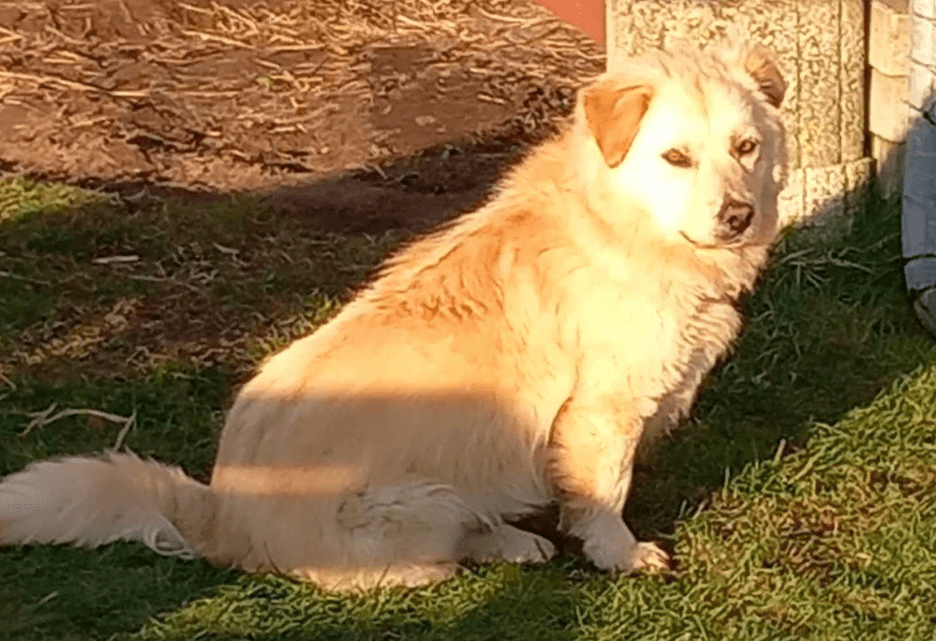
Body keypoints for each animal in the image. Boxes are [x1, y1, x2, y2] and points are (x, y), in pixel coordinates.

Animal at [0, 41, 788, 592]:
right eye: (675, 157)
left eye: (746, 147)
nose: (738, 216)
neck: (621, 227)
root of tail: (221, 513)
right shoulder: (600, 412)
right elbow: (604, 494)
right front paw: (620, 554)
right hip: (424, 499)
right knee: (414, 559)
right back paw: (498, 545)